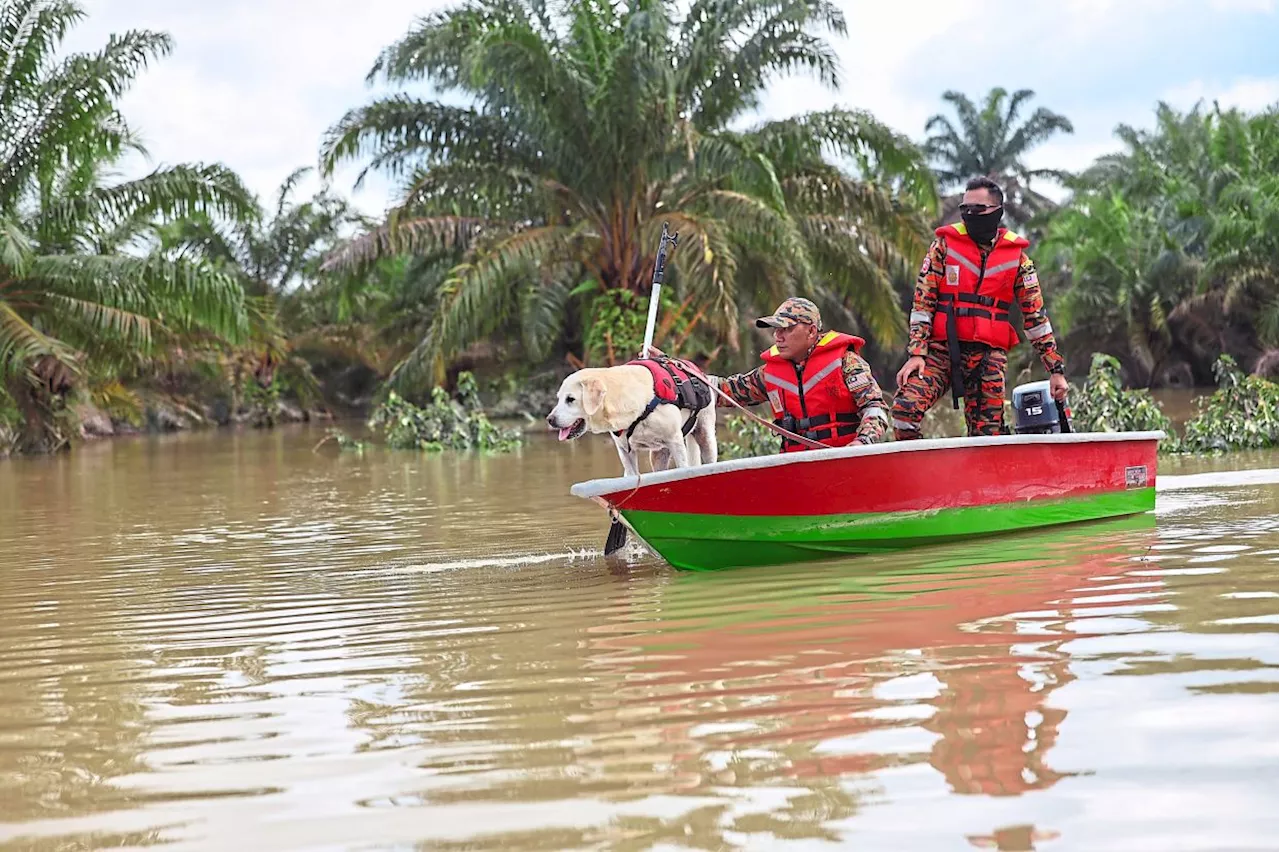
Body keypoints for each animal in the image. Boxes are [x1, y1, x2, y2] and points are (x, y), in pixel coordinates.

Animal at [542, 360, 716, 478]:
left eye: (570, 399)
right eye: (558, 398)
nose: (550, 419)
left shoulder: (676, 441)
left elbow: (682, 468)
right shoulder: (625, 450)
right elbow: (631, 474)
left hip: (705, 436)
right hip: (658, 454)